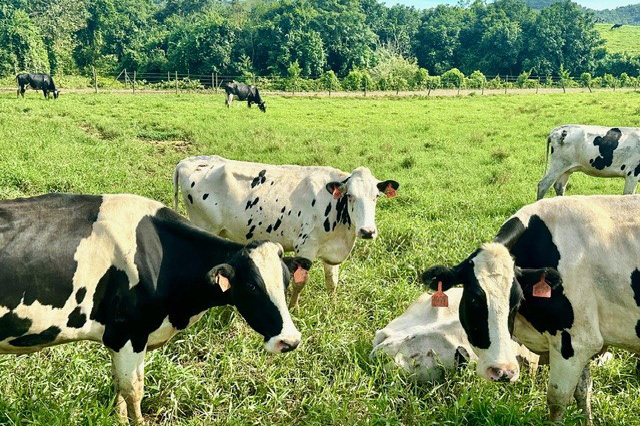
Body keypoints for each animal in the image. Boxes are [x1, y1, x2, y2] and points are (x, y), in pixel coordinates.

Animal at [0, 193, 311, 424]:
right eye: (251, 287)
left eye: (285, 282)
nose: (290, 340)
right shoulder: (128, 334)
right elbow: (133, 390)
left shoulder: (121, 338)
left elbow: (120, 388)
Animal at [173, 155, 399, 307]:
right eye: (350, 196)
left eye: (376, 197)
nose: (367, 231)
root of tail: (190, 161)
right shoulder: (306, 248)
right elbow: (300, 282)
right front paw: (293, 307)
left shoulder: (330, 251)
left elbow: (332, 281)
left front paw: (332, 306)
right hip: (203, 226)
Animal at [421, 195, 640, 425]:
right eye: (473, 299)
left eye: (517, 301)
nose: (502, 371)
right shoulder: (584, 340)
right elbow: (583, 391)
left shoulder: (575, 342)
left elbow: (557, 400)